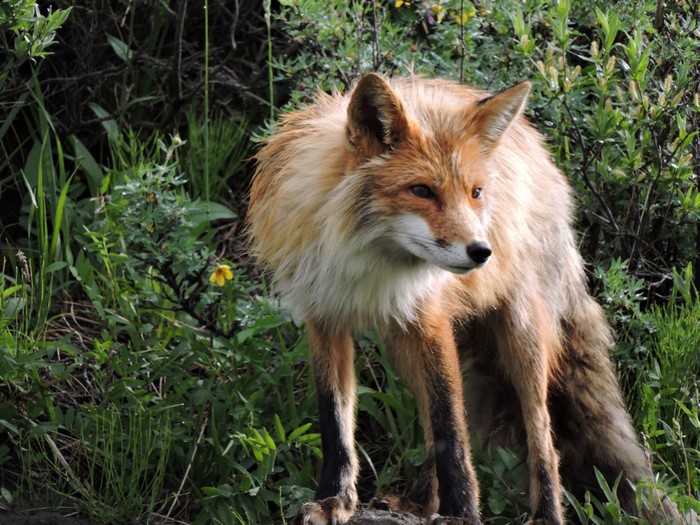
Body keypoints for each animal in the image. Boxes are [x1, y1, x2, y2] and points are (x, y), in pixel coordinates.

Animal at [246, 73, 684, 525]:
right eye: (421, 190)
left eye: (475, 192)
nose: (481, 251)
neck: (370, 261)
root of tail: (543, 155)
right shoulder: (325, 317)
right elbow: (337, 423)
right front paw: (335, 500)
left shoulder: (431, 319)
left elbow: (450, 427)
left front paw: (461, 513)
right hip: (401, 344)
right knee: (439, 421)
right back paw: (420, 501)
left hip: (523, 336)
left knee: (541, 432)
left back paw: (545, 513)